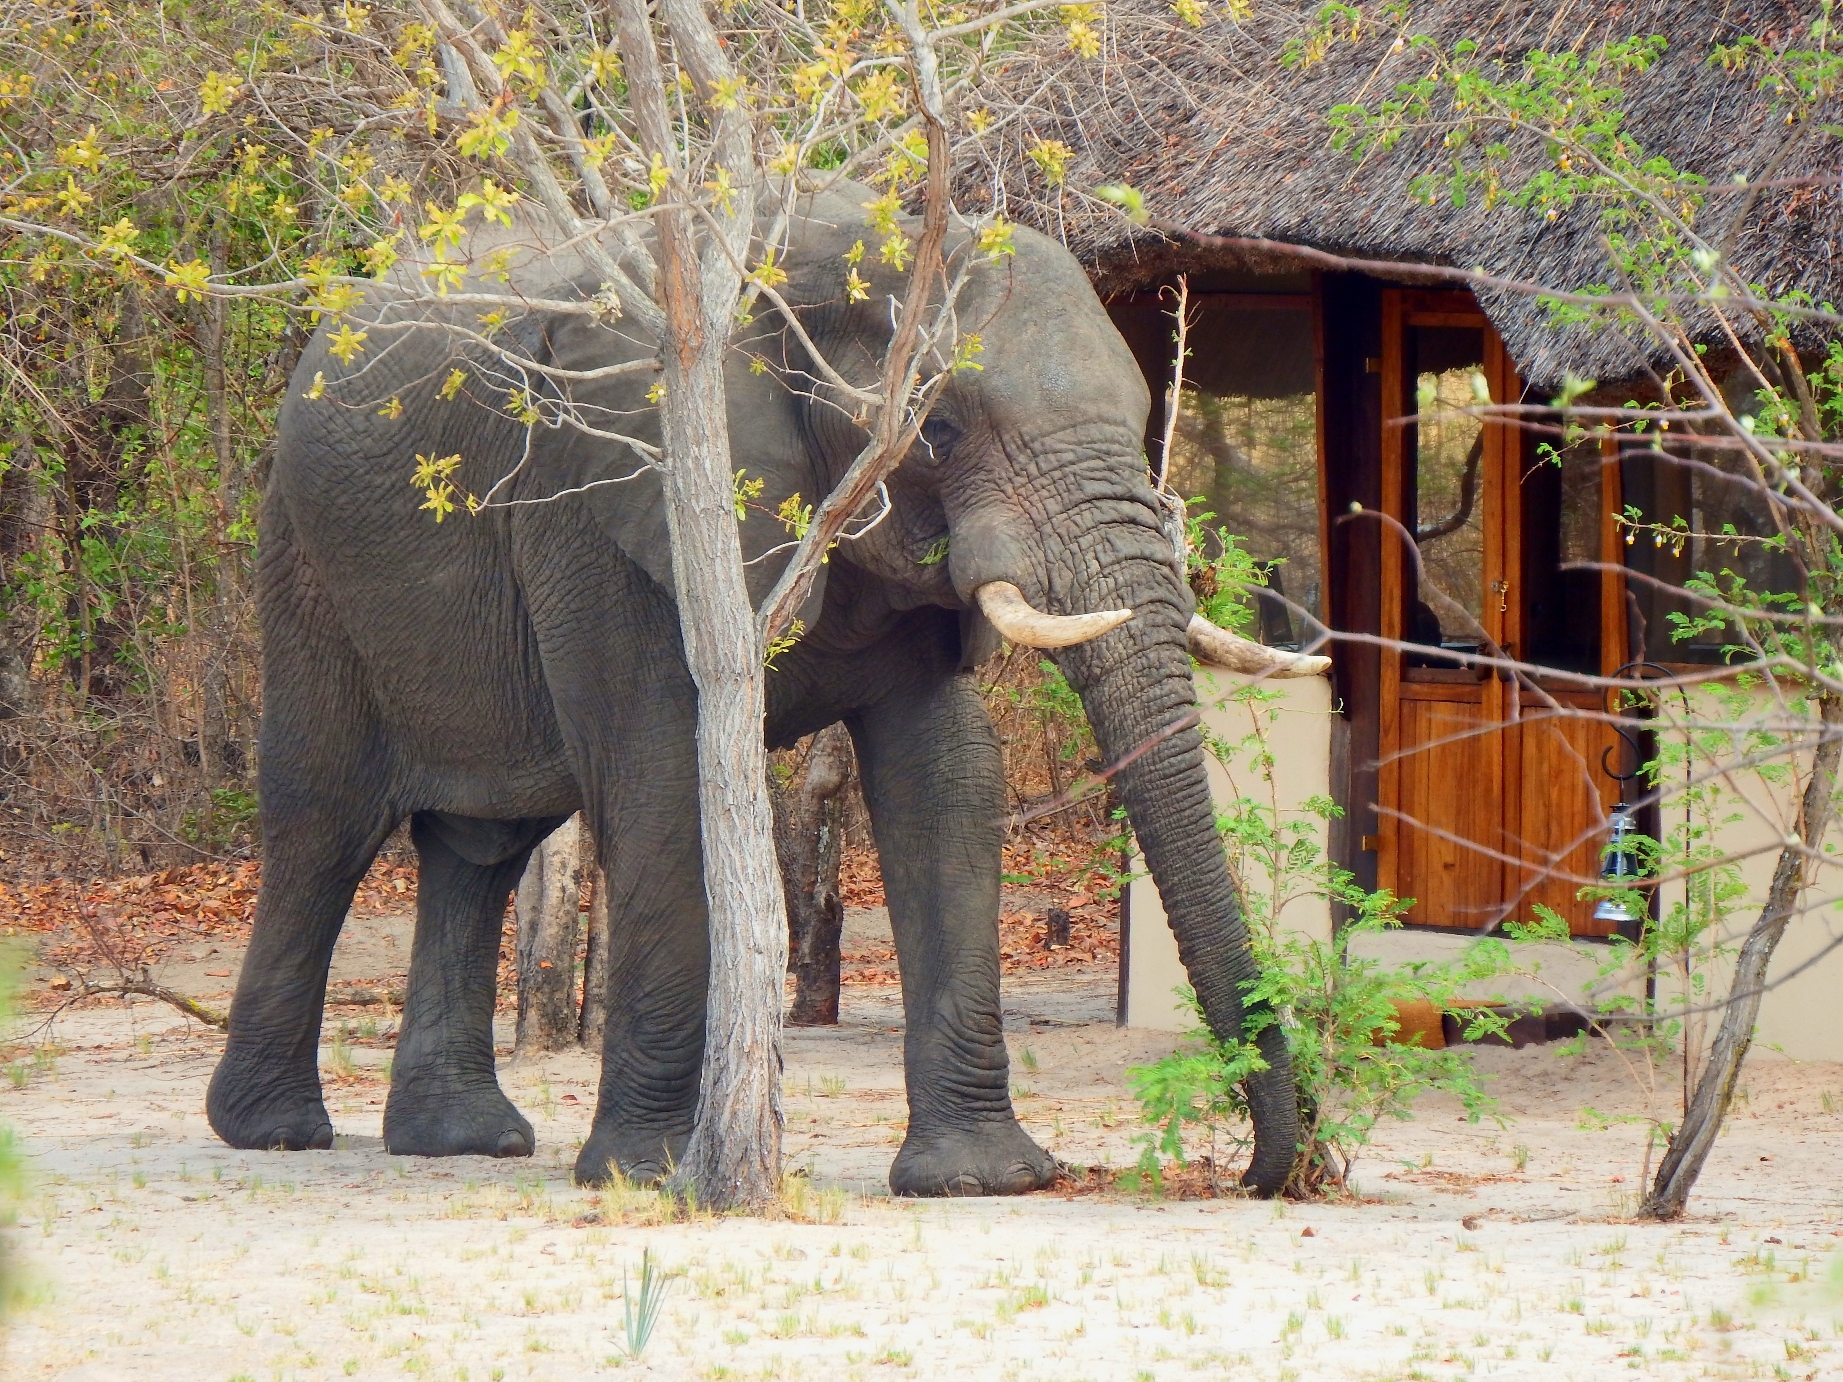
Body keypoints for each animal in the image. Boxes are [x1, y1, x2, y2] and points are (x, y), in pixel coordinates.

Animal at [203, 179, 1320, 1196]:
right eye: (940, 432)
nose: (1264, 1173)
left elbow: (946, 783)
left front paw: (980, 1178)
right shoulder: (615, 495)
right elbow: (662, 778)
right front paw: (645, 1175)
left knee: (481, 842)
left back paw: (462, 1140)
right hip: (303, 555)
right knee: (323, 823)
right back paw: (275, 1131)